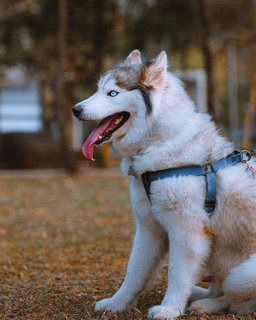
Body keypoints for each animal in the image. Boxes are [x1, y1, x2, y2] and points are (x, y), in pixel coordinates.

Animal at [72, 50, 256, 320]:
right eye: (98, 90)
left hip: (243, 274)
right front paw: (117, 304)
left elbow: (176, 275)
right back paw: (199, 294)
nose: (75, 109)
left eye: (112, 93)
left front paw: (170, 308)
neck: (158, 142)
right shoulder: (148, 229)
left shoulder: (187, 232)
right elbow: (134, 273)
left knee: (238, 302)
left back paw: (206, 304)